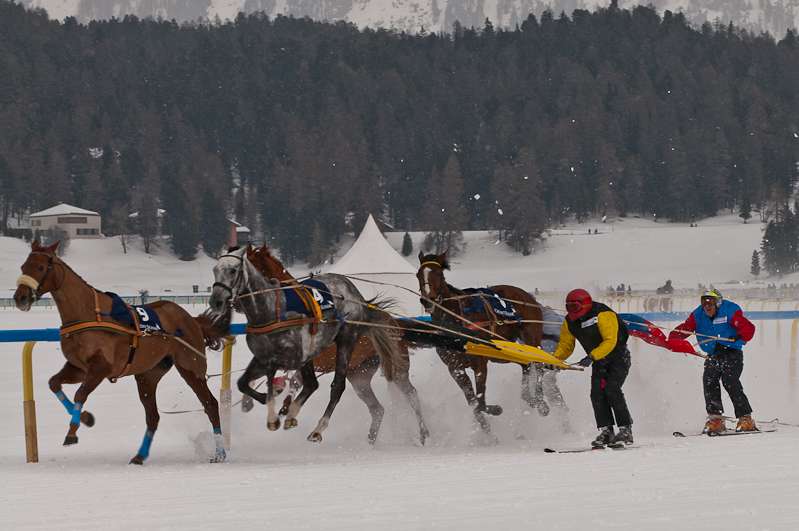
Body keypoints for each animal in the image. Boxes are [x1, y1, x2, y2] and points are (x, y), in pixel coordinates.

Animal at [14, 239, 230, 464]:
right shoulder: (79, 367)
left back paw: (219, 453)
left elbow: (80, 393)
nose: (20, 297)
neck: (89, 313)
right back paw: (139, 456)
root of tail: (192, 319)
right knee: (153, 416)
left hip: (191, 367)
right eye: (23, 266)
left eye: (40, 267)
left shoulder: (100, 367)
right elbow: (54, 383)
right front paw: (86, 418)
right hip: (148, 375)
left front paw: (72, 433)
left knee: (210, 405)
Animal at [208, 247, 406, 442]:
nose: (216, 301)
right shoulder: (265, 357)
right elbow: (244, 382)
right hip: (357, 374)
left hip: (348, 344)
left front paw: (276, 408)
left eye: (233, 270)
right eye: (215, 270)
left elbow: (281, 377)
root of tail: (360, 298)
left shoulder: (292, 357)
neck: (273, 310)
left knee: (339, 386)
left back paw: (318, 429)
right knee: (358, 401)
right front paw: (261, 400)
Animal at [418, 249, 544, 436]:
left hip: (531, 338)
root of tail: (528, 296)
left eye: (439, 273)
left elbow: (481, 402)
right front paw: (489, 435)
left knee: (540, 364)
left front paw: (496, 410)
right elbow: (474, 404)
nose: (428, 300)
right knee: (526, 364)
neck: (457, 320)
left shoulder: (480, 362)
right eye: (418, 274)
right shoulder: (455, 368)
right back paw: (529, 398)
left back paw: (541, 402)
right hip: (502, 351)